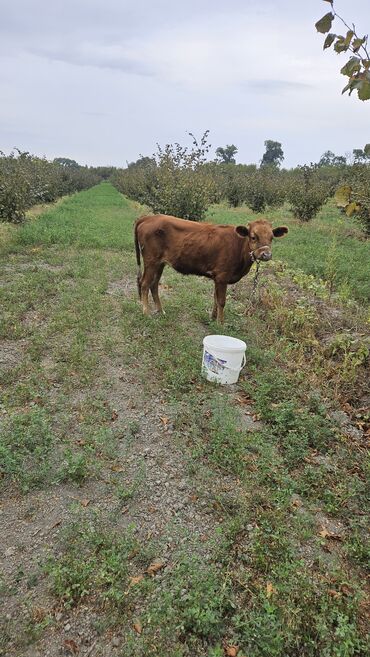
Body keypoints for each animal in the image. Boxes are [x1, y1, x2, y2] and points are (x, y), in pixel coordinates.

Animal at [134, 213, 288, 322]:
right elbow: (222, 301)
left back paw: (161, 311)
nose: (266, 255)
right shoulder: (222, 276)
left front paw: (213, 318)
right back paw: (146, 313)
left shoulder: (217, 277)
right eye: (253, 237)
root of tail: (148, 217)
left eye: (272, 237)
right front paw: (221, 324)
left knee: (154, 285)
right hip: (151, 261)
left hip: (160, 263)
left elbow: (215, 298)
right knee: (144, 284)